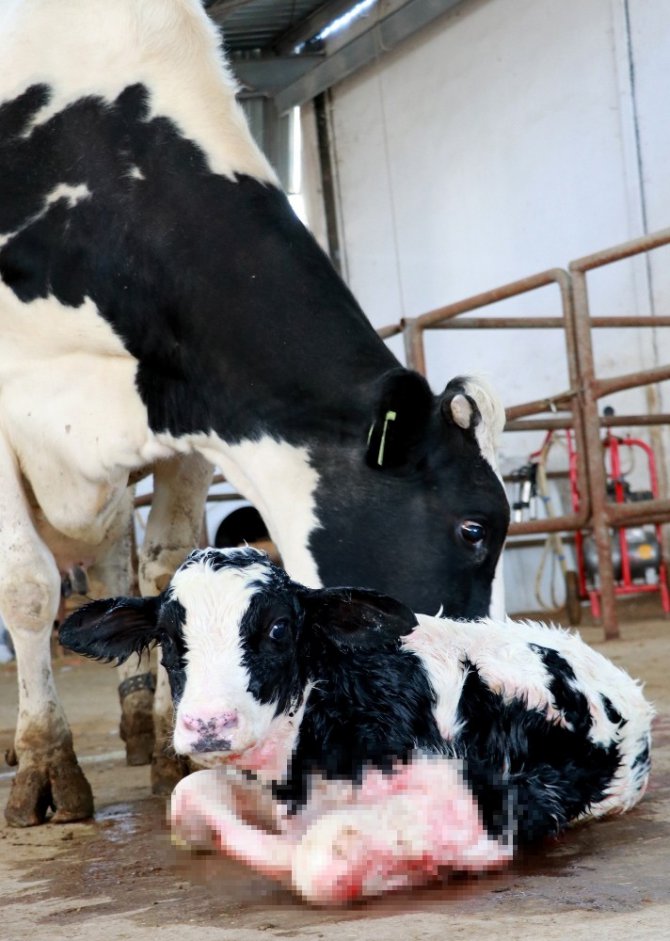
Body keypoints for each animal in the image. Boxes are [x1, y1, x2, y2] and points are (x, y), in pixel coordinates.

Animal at [0, 0, 510, 824]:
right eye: (473, 528)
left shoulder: (186, 406)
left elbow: (166, 560)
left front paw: (175, 750)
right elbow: (27, 585)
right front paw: (47, 767)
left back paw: (136, 722)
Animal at [59, 548, 656, 908]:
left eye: (279, 628)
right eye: (167, 638)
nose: (209, 723)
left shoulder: (485, 807)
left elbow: (317, 857)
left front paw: (416, 869)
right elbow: (187, 797)